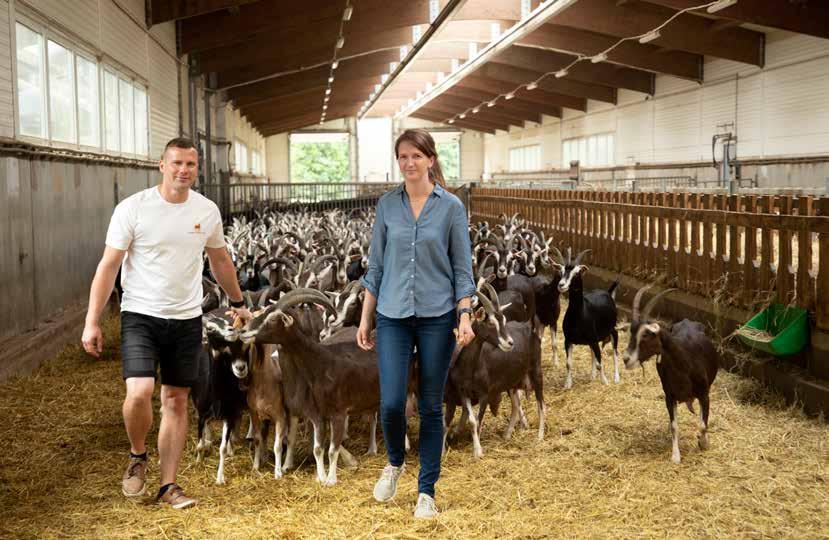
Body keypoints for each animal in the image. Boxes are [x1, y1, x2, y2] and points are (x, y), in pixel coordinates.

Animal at [555, 249, 620, 389]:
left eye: (576, 273)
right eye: (561, 271)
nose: (561, 285)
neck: (579, 314)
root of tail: (607, 293)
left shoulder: (594, 340)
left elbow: (600, 362)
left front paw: (605, 381)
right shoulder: (568, 340)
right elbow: (568, 363)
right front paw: (567, 383)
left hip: (612, 330)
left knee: (615, 352)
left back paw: (616, 377)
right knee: (592, 354)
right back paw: (592, 375)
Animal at [622, 285, 719, 464]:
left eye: (646, 335)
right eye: (631, 333)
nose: (626, 359)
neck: (685, 364)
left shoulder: (704, 393)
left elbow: (703, 424)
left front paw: (703, 443)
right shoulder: (669, 395)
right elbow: (674, 425)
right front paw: (675, 456)